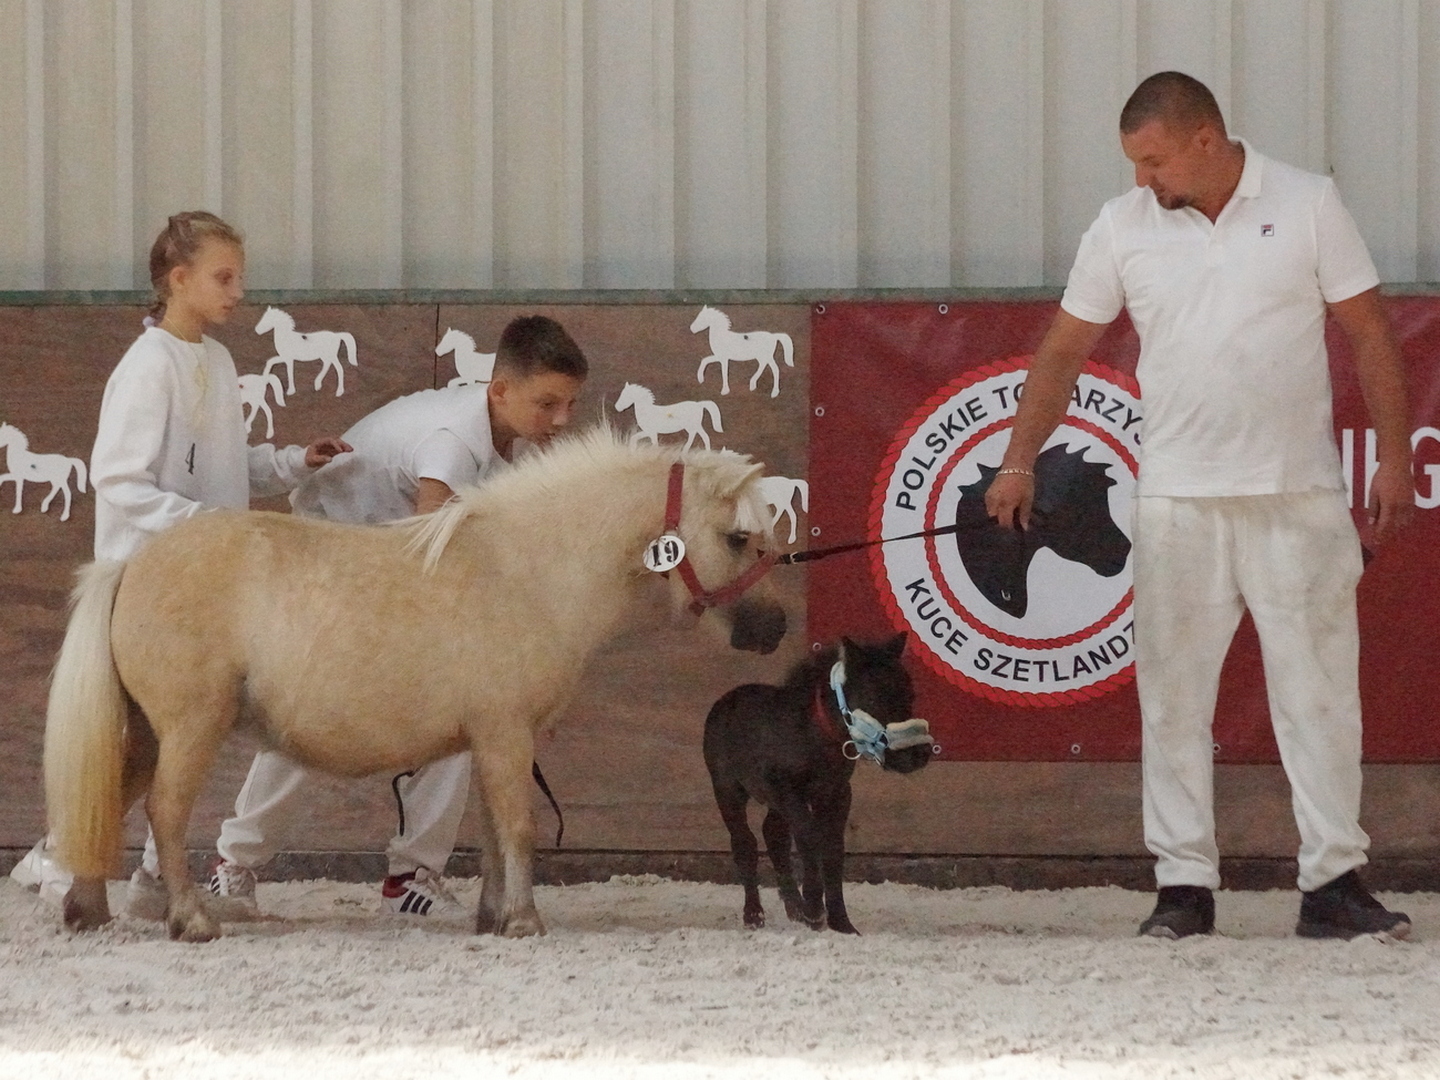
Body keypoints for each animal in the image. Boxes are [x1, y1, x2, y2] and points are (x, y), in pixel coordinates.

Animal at [45, 426, 789, 944]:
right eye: (738, 536)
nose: (776, 626)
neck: (529, 568)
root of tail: (132, 564)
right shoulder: (507, 734)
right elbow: (518, 826)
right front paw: (525, 922)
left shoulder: (493, 740)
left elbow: (492, 831)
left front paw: (494, 918)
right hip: (190, 730)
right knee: (165, 812)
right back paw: (192, 920)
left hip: (145, 733)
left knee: (111, 800)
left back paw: (87, 911)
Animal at [699, 639, 927, 933]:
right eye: (875, 697)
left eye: (910, 694)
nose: (919, 754)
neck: (814, 736)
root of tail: (723, 702)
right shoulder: (789, 791)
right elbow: (809, 837)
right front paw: (816, 910)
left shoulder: (836, 793)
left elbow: (832, 847)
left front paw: (840, 922)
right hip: (727, 788)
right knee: (744, 843)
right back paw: (754, 915)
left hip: (772, 799)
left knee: (774, 834)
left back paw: (794, 906)